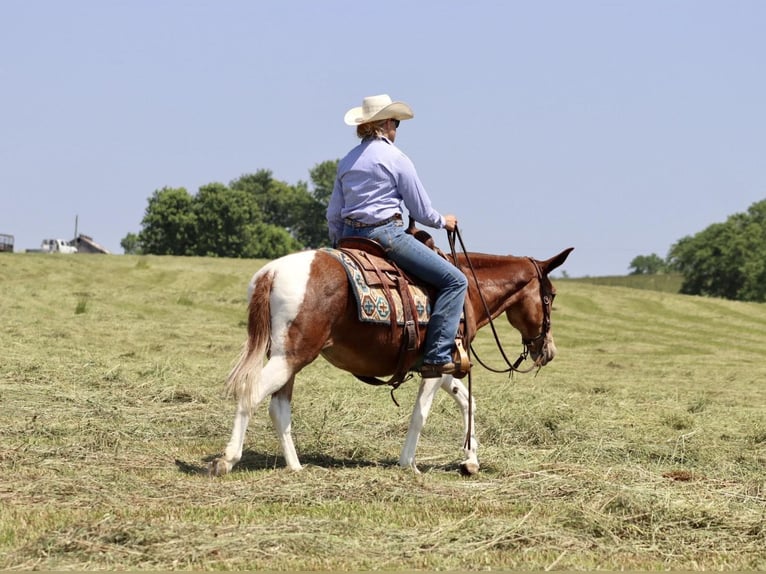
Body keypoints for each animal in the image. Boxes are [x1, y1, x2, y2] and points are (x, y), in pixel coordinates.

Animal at [207, 235, 572, 476]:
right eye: (552, 295)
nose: (549, 351)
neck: (468, 290)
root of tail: (271, 273)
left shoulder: (446, 366)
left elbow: (468, 401)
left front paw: (470, 460)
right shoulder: (436, 366)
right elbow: (420, 414)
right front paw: (408, 463)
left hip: (286, 358)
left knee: (279, 407)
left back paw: (295, 467)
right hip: (291, 357)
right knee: (252, 393)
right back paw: (228, 459)